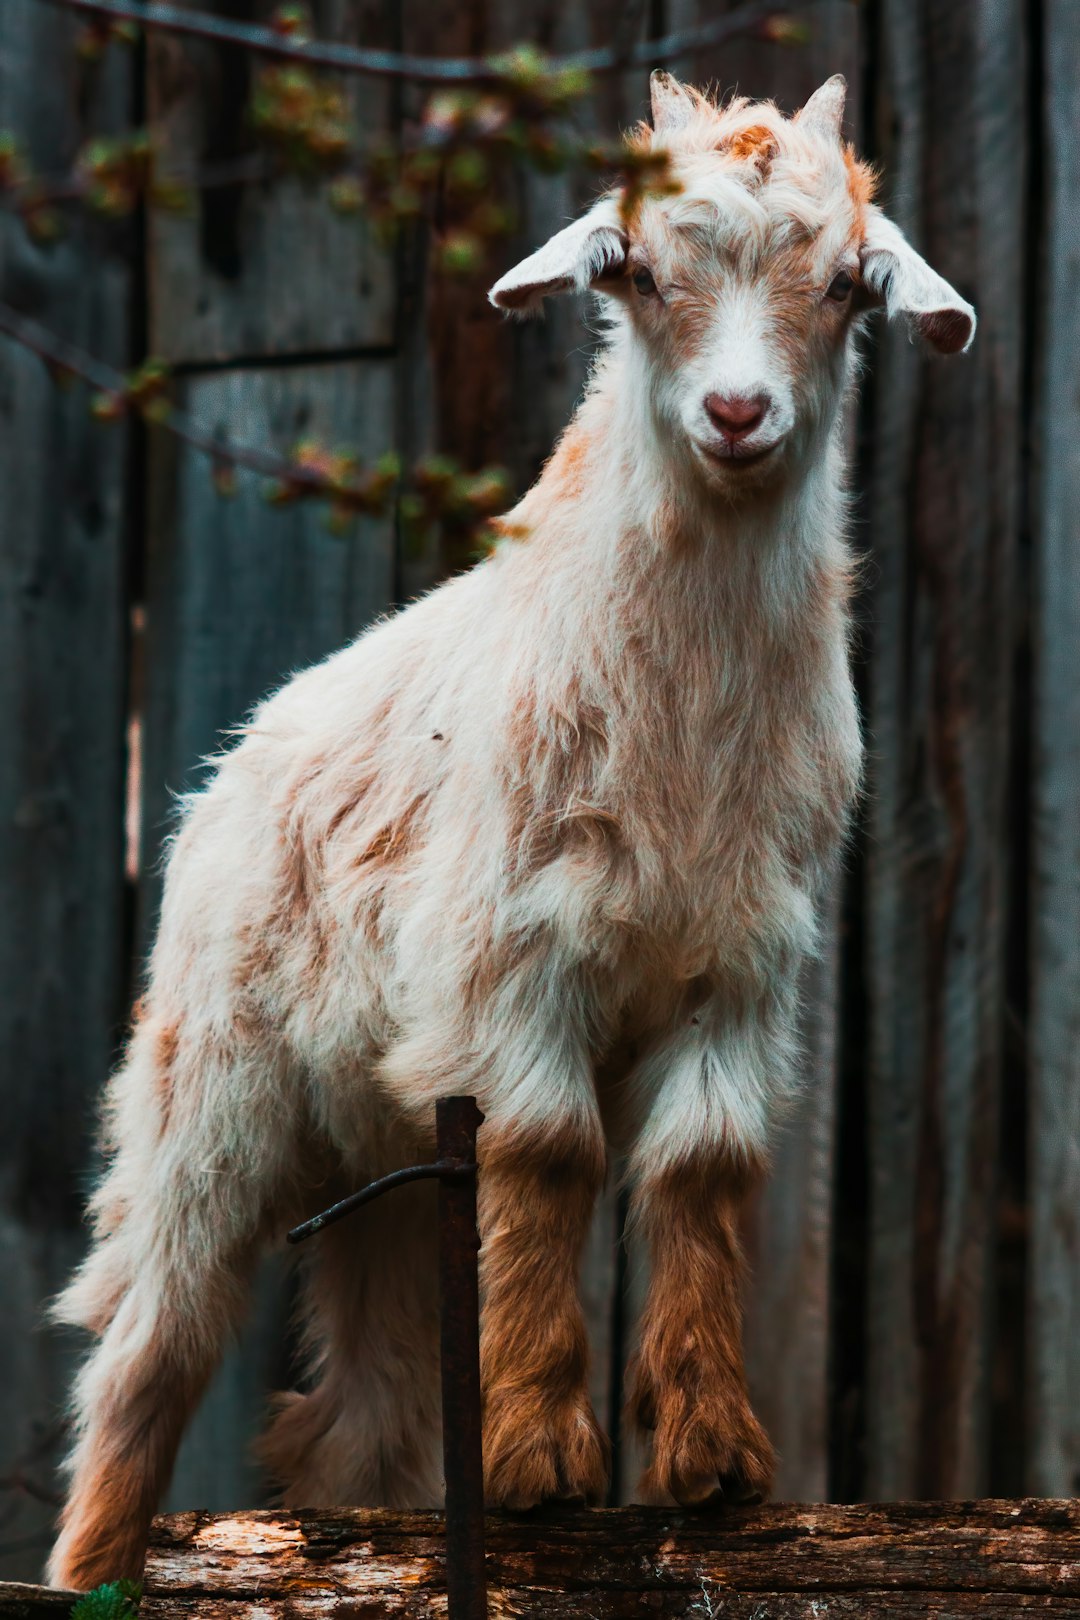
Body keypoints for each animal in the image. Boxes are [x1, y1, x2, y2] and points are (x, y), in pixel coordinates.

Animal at [50, 69, 977, 1587]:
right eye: (639, 272)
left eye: (847, 284)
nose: (737, 413)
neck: (683, 729)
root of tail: (220, 777)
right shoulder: (509, 957)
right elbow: (553, 1157)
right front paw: (543, 1464)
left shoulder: (741, 968)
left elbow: (701, 1168)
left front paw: (716, 1463)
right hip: (207, 1090)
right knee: (146, 1355)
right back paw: (100, 1565)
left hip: (389, 1152)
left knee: (360, 1410)